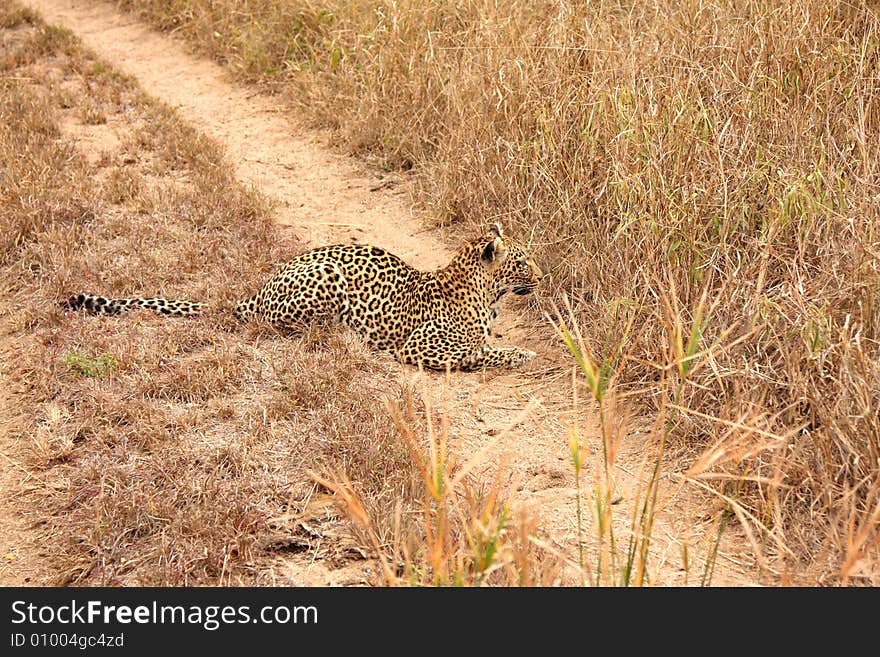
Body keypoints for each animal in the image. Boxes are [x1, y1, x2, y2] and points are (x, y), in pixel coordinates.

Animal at [62, 223, 540, 368]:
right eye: (521, 261)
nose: (543, 274)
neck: (488, 297)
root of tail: (259, 292)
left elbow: (485, 347)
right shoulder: (421, 348)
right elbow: (477, 354)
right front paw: (521, 354)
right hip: (325, 283)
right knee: (291, 328)